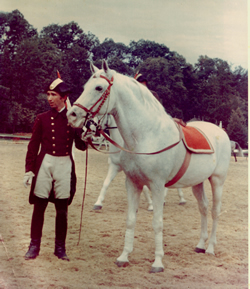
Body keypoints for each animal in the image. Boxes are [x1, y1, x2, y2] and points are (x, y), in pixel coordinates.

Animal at [66, 60, 230, 272]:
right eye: (85, 86)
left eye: (99, 88)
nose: (72, 115)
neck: (145, 136)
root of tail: (220, 131)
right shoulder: (132, 183)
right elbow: (130, 219)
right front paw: (124, 256)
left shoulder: (157, 186)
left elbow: (157, 223)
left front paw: (158, 262)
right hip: (197, 182)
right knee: (203, 208)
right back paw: (200, 245)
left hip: (217, 181)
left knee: (215, 211)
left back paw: (210, 248)